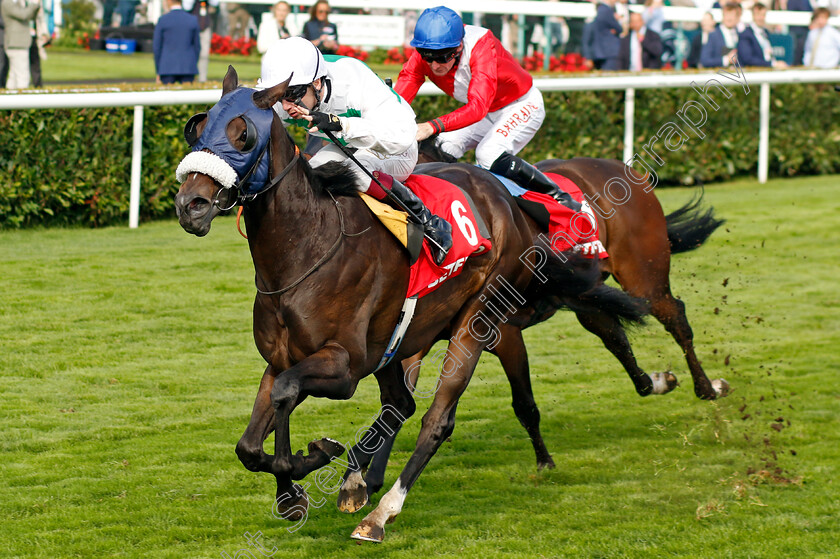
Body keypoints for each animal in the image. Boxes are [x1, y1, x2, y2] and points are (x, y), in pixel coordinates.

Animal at [174, 65, 640, 544]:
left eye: (243, 134)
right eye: (198, 127)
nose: (190, 205)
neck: (306, 250)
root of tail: (508, 200)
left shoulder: (344, 367)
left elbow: (287, 394)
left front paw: (310, 460)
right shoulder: (281, 358)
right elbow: (250, 443)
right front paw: (294, 490)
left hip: (479, 317)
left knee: (436, 420)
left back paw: (380, 514)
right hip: (399, 342)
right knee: (401, 402)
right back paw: (357, 482)